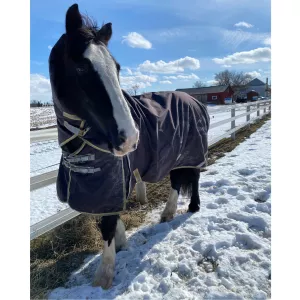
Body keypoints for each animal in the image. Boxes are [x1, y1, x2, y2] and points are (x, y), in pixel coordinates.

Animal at [48, 2, 209, 290]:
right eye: (81, 68)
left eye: (117, 67)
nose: (131, 138)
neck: (81, 147)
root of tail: (194, 100)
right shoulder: (96, 188)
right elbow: (107, 215)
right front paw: (122, 242)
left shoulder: (113, 179)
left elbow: (107, 224)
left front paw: (104, 276)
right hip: (176, 154)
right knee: (178, 182)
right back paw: (168, 213)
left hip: (191, 152)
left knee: (193, 178)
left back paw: (191, 208)